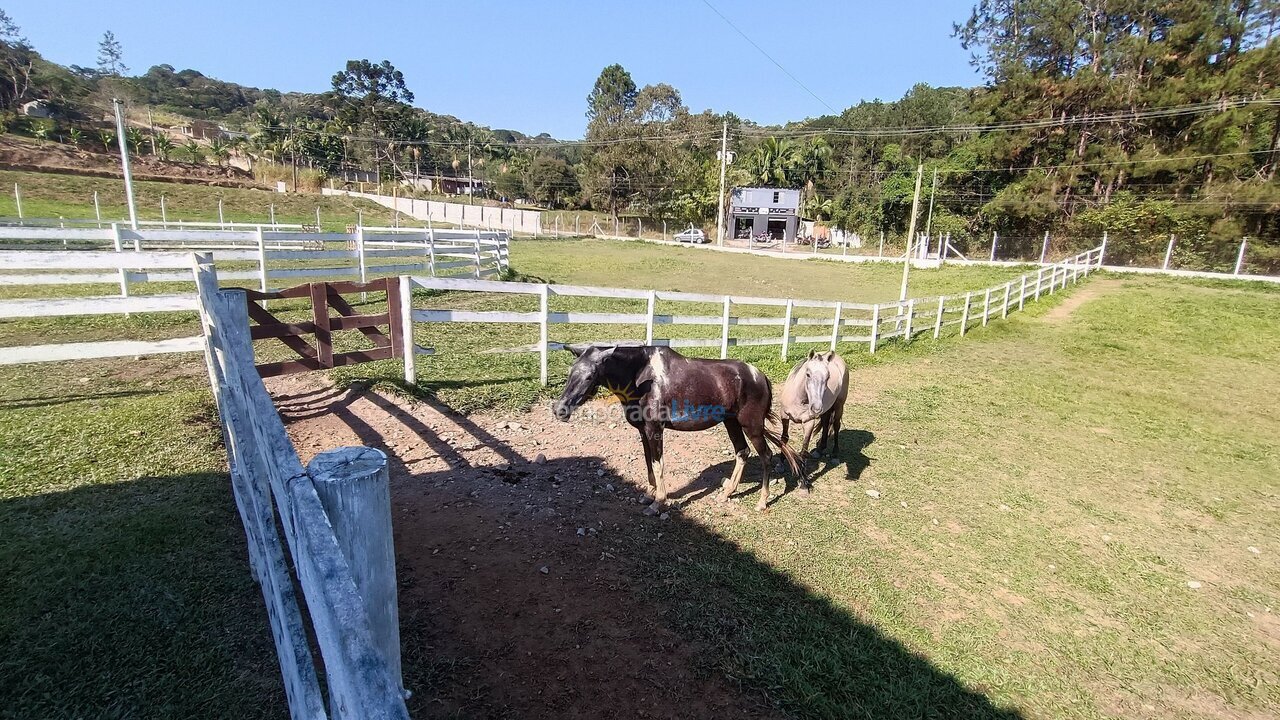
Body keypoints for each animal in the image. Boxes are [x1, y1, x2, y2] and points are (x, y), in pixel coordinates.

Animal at [550, 345, 798, 509]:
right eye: (571, 372)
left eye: (590, 376)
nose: (560, 409)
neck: (642, 378)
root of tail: (760, 376)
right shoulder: (643, 432)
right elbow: (649, 464)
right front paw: (649, 495)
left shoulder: (655, 430)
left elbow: (658, 464)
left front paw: (659, 502)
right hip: (731, 423)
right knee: (742, 452)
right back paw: (726, 493)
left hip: (751, 426)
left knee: (766, 456)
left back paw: (762, 502)